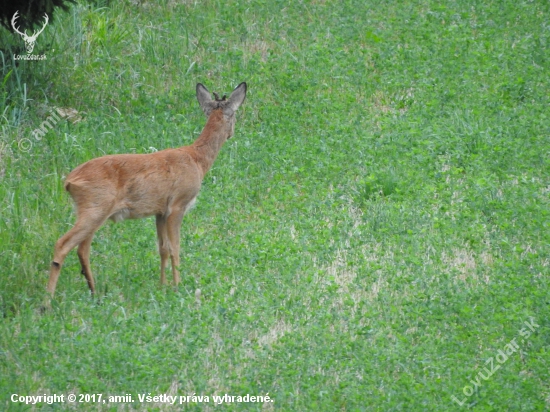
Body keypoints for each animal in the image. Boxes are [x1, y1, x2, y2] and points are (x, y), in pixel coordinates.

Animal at [46, 82, 249, 298]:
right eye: (235, 115)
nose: (232, 133)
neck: (197, 160)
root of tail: (69, 181)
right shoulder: (178, 205)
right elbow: (176, 247)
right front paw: (177, 286)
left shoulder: (160, 211)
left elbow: (163, 248)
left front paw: (162, 286)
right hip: (96, 207)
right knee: (63, 244)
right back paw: (48, 300)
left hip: (92, 210)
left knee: (82, 249)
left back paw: (94, 292)